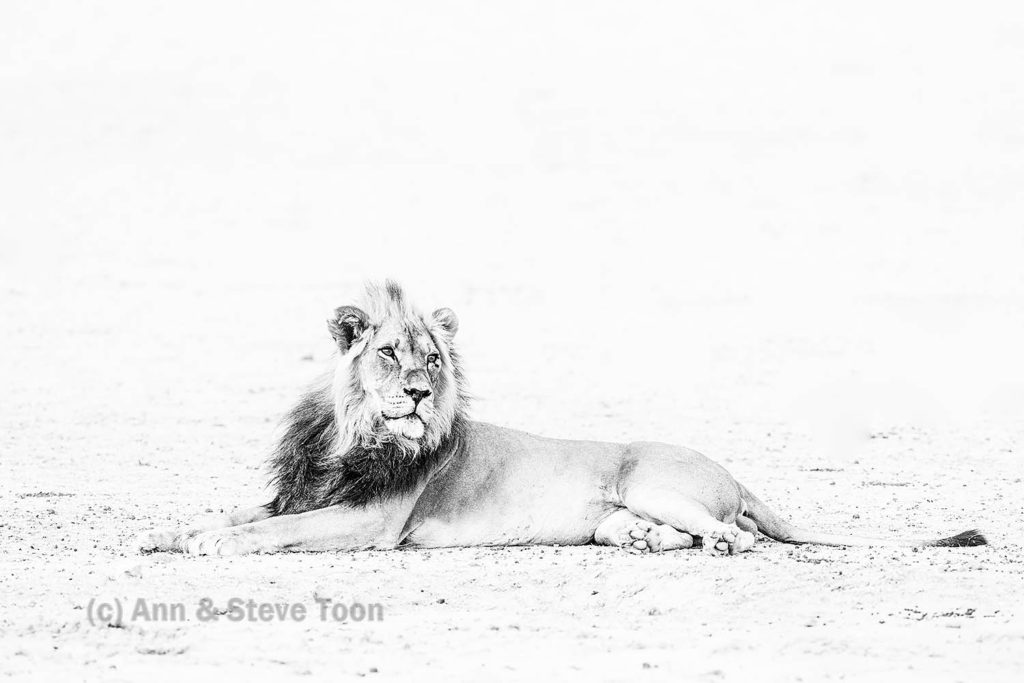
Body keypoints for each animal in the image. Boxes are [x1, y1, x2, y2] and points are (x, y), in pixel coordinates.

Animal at [138, 281, 987, 556]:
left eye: (431, 360)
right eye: (387, 353)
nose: (415, 393)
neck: (356, 435)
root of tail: (734, 472)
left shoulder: (370, 521)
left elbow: (277, 528)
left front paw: (213, 542)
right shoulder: (304, 491)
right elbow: (247, 511)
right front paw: (171, 532)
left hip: (652, 479)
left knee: (737, 534)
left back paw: (713, 542)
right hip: (622, 511)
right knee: (668, 532)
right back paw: (647, 542)